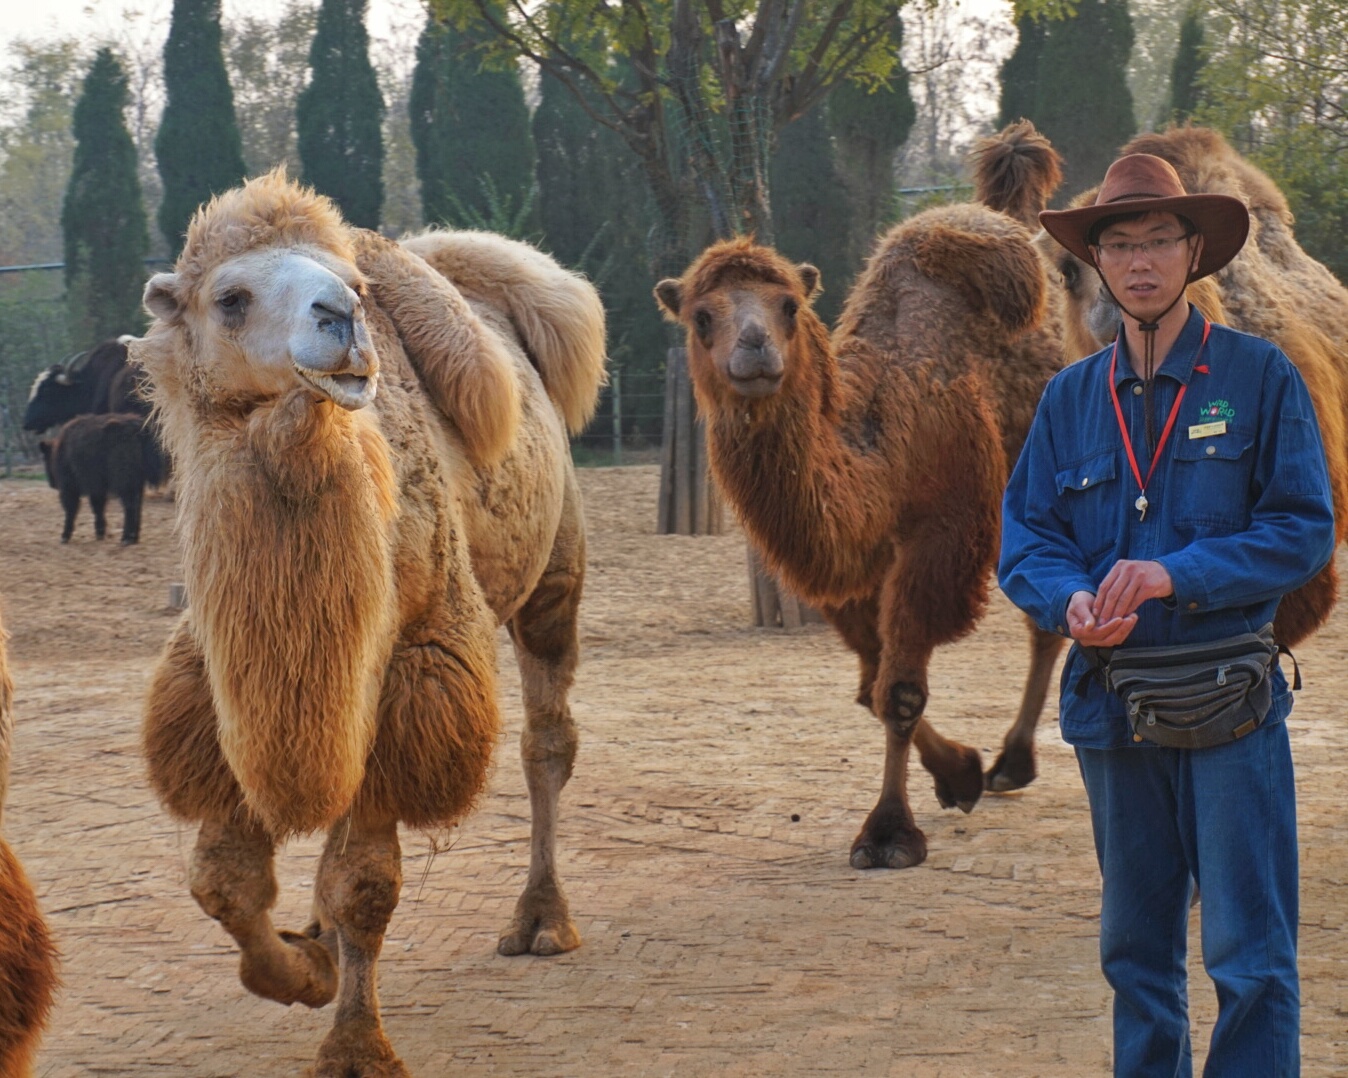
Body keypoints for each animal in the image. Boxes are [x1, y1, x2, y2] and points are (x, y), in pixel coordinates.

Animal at [132, 172, 606, 1072]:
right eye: (230, 298)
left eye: (351, 284)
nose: (342, 317)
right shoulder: (228, 685)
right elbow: (221, 880)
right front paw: (302, 969)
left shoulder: (413, 671)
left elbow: (365, 884)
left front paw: (353, 1041)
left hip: (552, 576)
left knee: (547, 741)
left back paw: (542, 921)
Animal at [657, 198, 1067, 867]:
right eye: (701, 316)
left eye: (789, 305)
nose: (755, 346)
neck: (879, 449)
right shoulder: (851, 568)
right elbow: (869, 687)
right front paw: (958, 773)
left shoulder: (939, 533)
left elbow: (898, 692)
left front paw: (889, 833)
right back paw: (1007, 766)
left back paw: (1017, 760)